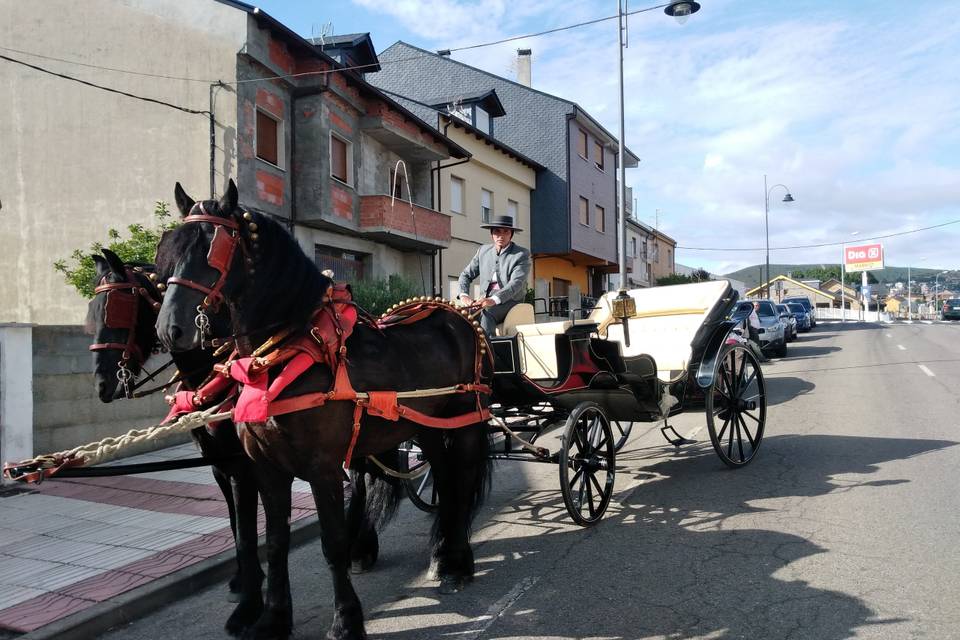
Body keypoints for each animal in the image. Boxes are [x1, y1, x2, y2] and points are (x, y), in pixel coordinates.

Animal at [154, 180, 492, 640]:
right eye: (168, 251)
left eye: (213, 249)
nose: (170, 328)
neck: (282, 356)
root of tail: (455, 314)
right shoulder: (265, 469)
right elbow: (274, 543)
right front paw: (273, 618)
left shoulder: (322, 467)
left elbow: (332, 543)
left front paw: (346, 620)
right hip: (427, 426)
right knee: (443, 476)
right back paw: (442, 556)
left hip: (466, 422)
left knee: (459, 481)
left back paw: (460, 562)